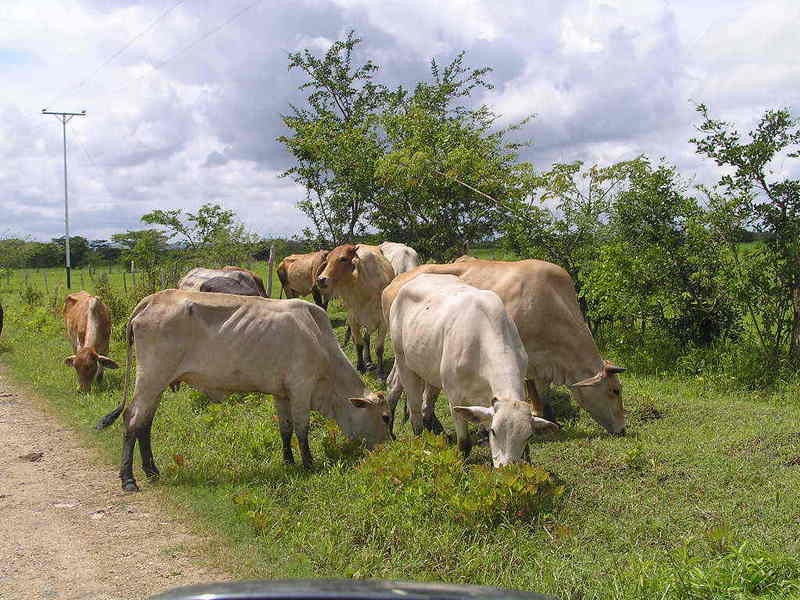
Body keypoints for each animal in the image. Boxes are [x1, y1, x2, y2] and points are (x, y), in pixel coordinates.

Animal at [95, 290, 390, 492]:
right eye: (386, 417)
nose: (388, 446)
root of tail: (151, 299)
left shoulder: (282, 393)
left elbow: (285, 429)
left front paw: (288, 461)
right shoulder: (301, 387)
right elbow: (302, 429)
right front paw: (308, 464)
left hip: (157, 384)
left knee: (145, 424)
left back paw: (152, 471)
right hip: (151, 379)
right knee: (132, 419)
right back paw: (129, 479)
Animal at [318, 245, 396, 380]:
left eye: (343, 259)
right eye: (327, 260)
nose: (321, 279)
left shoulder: (382, 323)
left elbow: (379, 348)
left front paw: (380, 372)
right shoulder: (353, 320)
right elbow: (359, 344)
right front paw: (360, 367)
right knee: (364, 339)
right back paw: (368, 361)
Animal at [380, 258, 624, 436]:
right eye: (615, 390)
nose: (622, 429)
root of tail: (394, 283)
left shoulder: (542, 364)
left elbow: (543, 392)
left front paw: (549, 418)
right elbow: (533, 390)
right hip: (405, 355)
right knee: (399, 383)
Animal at [388, 274, 556, 466]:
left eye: (528, 436)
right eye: (494, 431)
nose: (505, 467)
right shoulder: (454, 397)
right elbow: (464, 443)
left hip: (429, 370)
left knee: (423, 402)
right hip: (403, 361)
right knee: (414, 408)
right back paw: (417, 439)